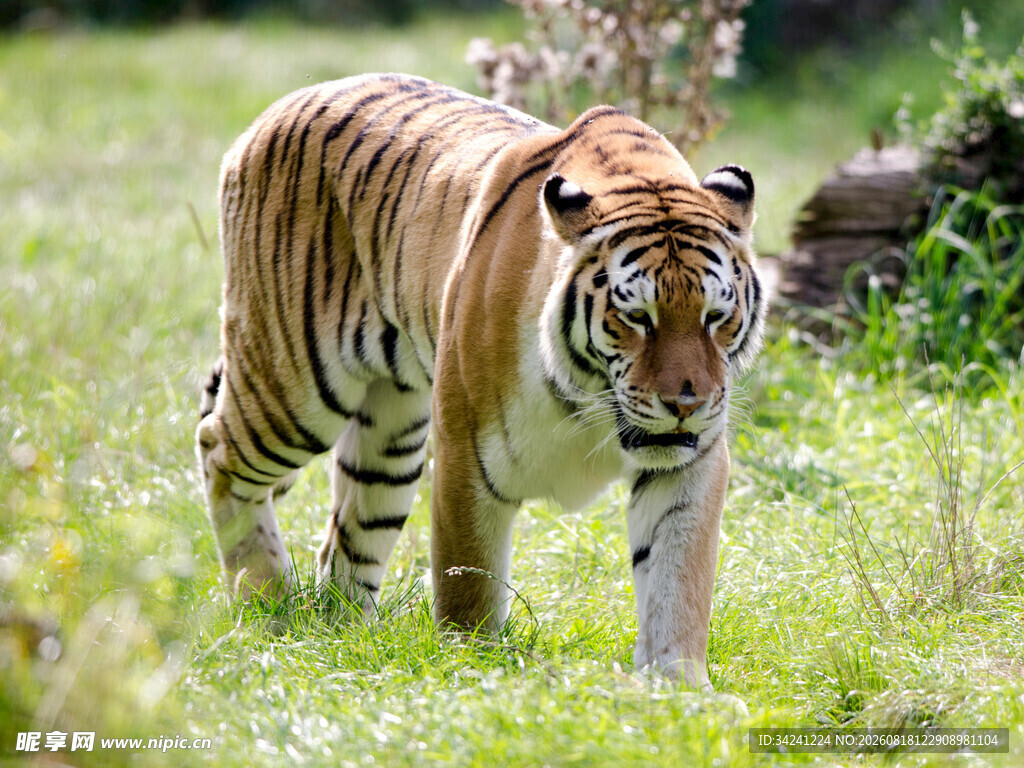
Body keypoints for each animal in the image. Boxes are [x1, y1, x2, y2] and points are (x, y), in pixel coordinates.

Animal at [196, 72, 765, 690]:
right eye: (637, 317)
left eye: (715, 316)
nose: (687, 403)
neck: (589, 397)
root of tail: (277, 108)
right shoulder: (467, 450)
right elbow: (467, 574)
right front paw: (472, 671)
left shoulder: (689, 463)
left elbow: (677, 577)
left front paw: (679, 685)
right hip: (296, 384)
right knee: (218, 446)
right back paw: (265, 599)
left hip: (391, 439)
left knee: (347, 535)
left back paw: (345, 633)